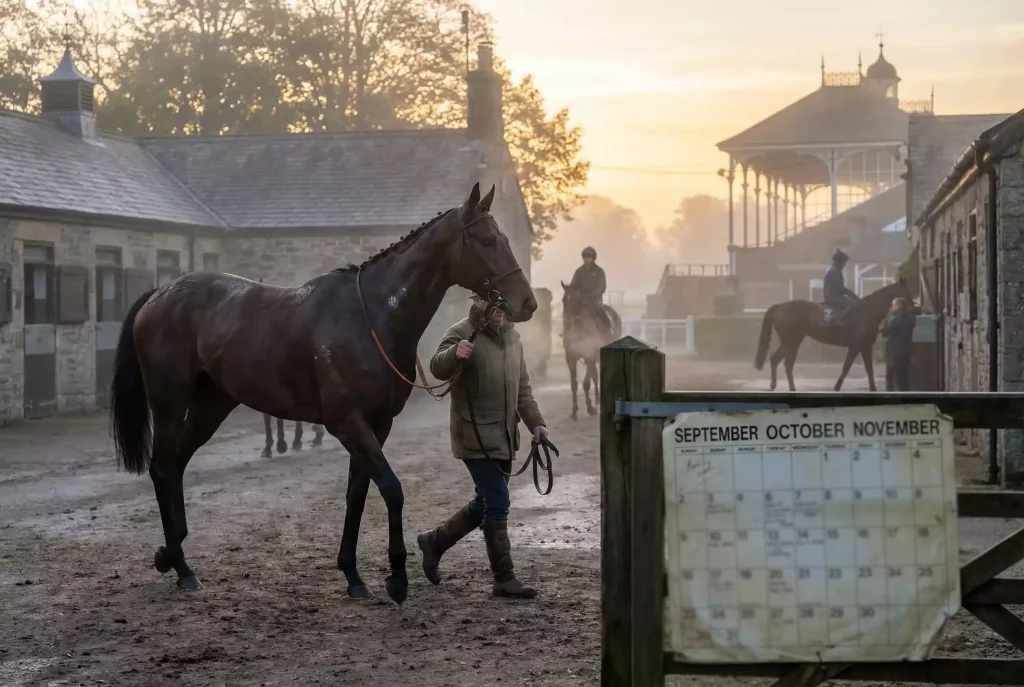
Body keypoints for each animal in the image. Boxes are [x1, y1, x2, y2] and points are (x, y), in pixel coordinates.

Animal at [109, 183, 536, 604]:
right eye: (485, 240)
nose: (527, 303)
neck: (371, 318)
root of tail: (159, 294)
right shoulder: (348, 424)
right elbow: (391, 489)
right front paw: (397, 579)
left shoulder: (377, 425)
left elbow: (357, 494)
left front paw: (353, 575)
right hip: (169, 401)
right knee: (163, 467)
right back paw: (183, 568)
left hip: (212, 404)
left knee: (177, 464)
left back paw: (170, 553)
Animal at [560, 281, 621, 419]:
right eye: (564, 299)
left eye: (577, 300)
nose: (567, 321)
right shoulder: (570, 358)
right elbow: (574, 385)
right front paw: (574, 411)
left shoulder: (589, 355)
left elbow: (586, 384)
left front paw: (590, 408)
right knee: (595, 376)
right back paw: (598, 400)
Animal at [753, 278, 914, 393]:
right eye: (907, 293)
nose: (914, 308)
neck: (867, 313)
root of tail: (779, 306)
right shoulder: (859, 347)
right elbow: (853, 368)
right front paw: (841, 387)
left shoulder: (861, 348)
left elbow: (860, 368)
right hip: (791, 341)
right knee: (782, 361)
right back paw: (786, 387)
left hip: (792, 341)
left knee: (780, 361)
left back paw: (780, 386)